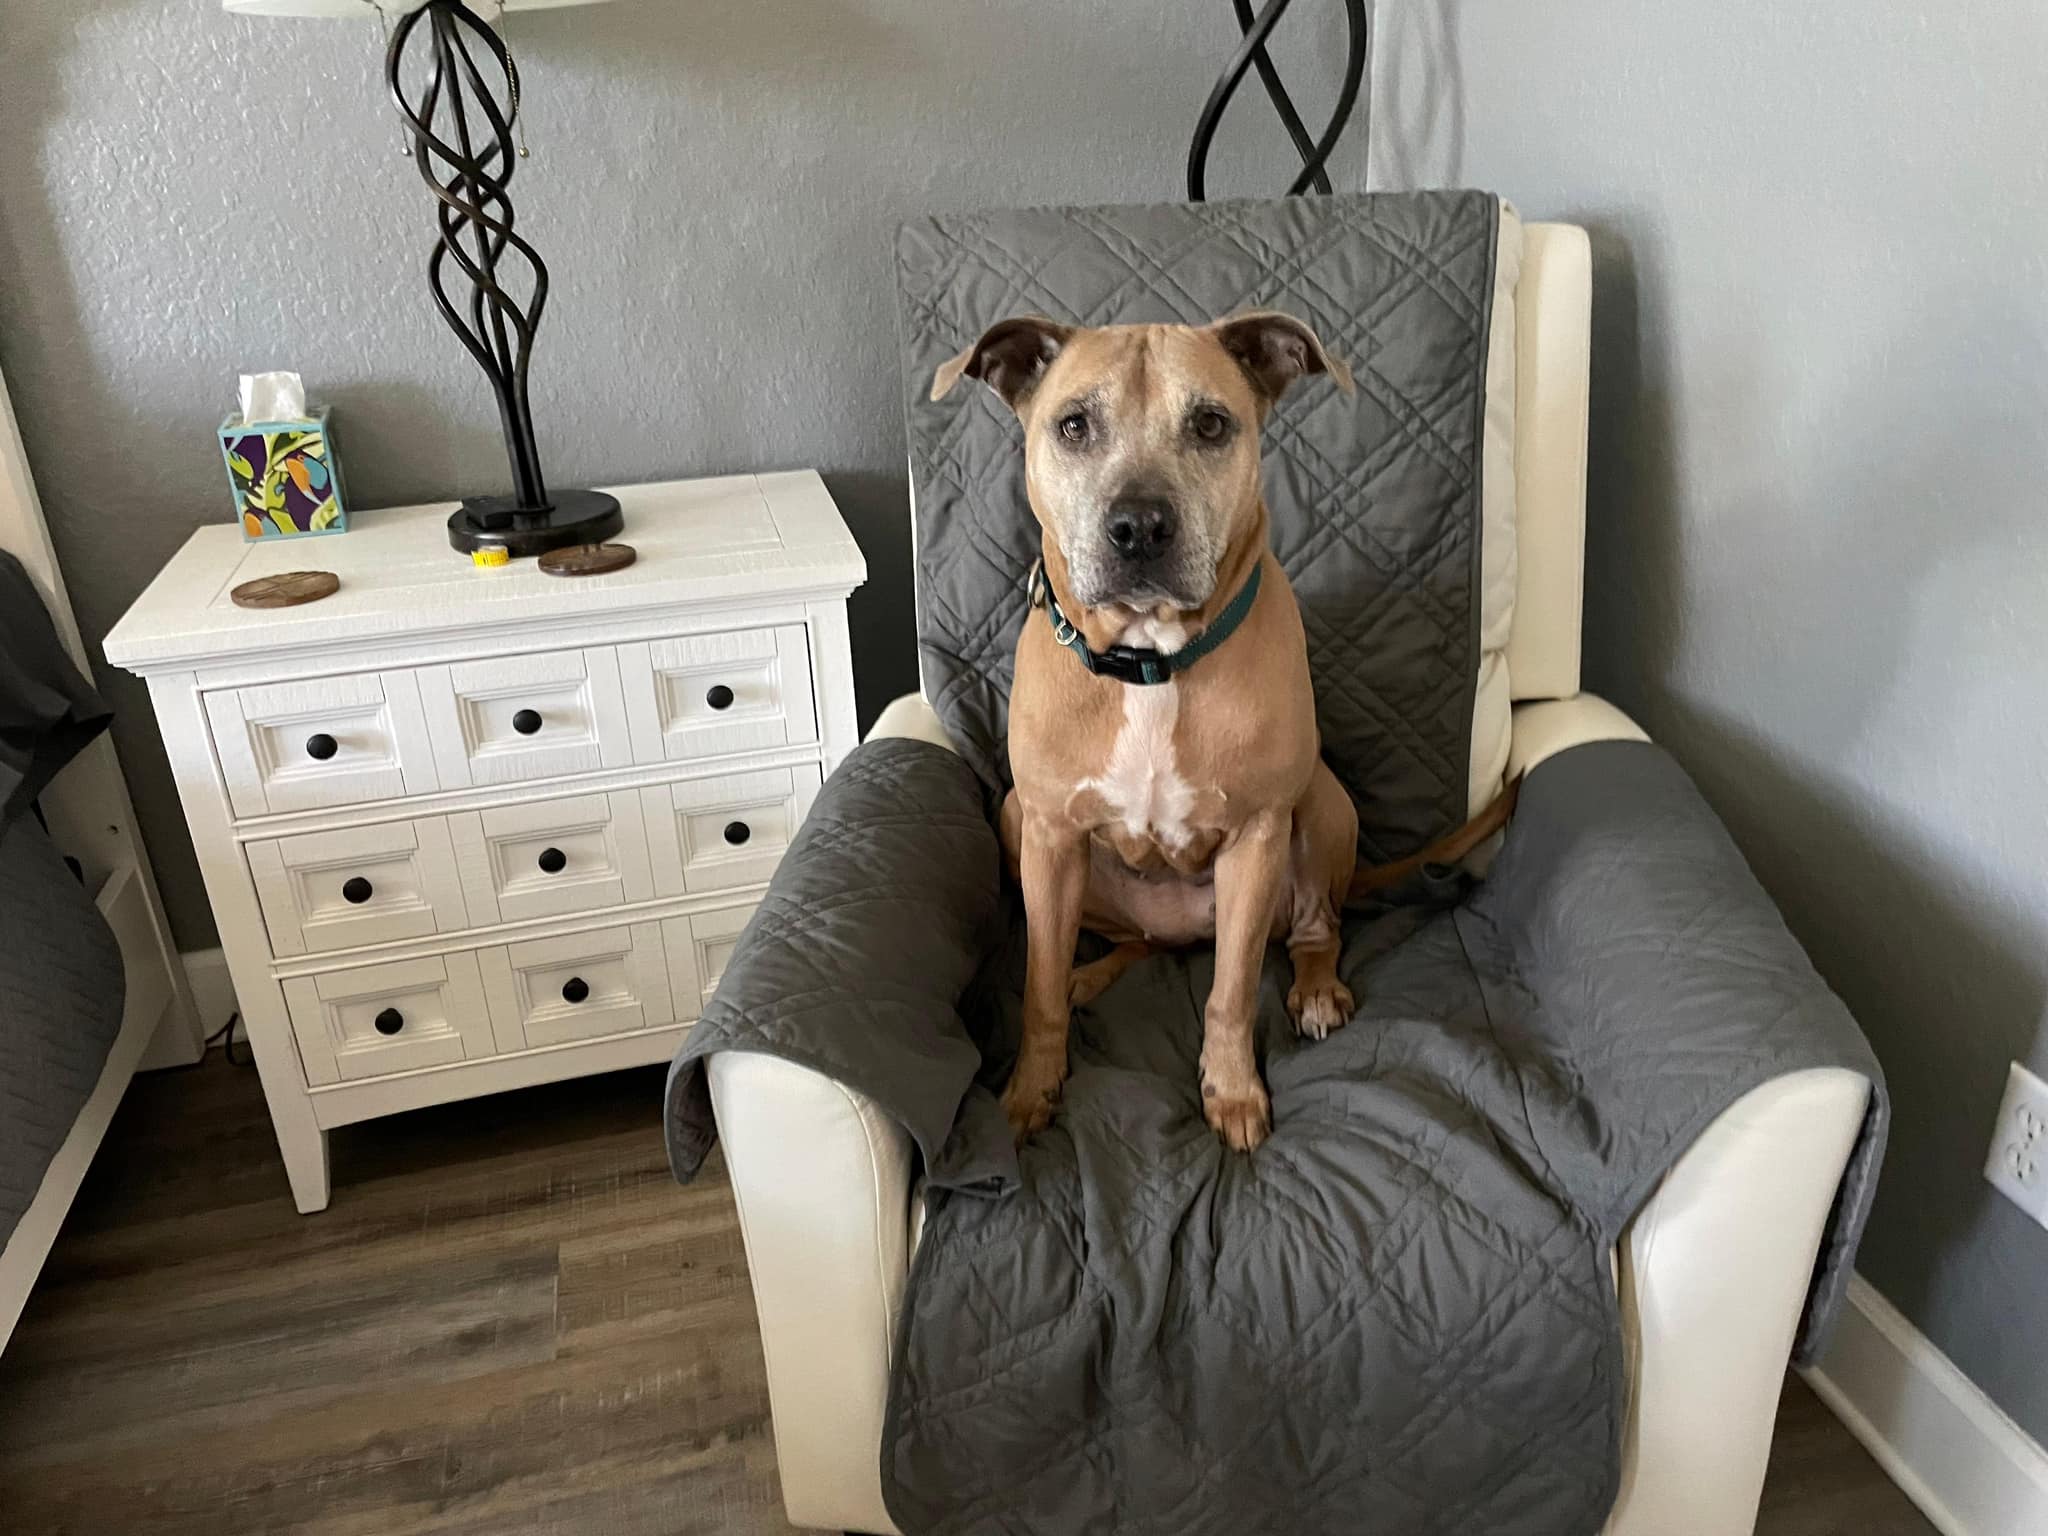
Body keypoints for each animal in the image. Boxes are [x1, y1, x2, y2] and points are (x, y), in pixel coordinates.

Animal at [937, 315, 1368, 1155]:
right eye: (1074, 425)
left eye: (1210, 424)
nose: (1138, 527)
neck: (1148, 661)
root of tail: (1179, 934)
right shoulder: (1048, 836)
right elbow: (1037, 986)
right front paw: (1031, 1090)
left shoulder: (1256, 837)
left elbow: (1231, 994)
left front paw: (1232, 1092)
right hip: (1018, 825)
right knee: (1121, 943)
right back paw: (1087, 974)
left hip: (1323, 810)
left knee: (1316, 929)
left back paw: (1316, 990)